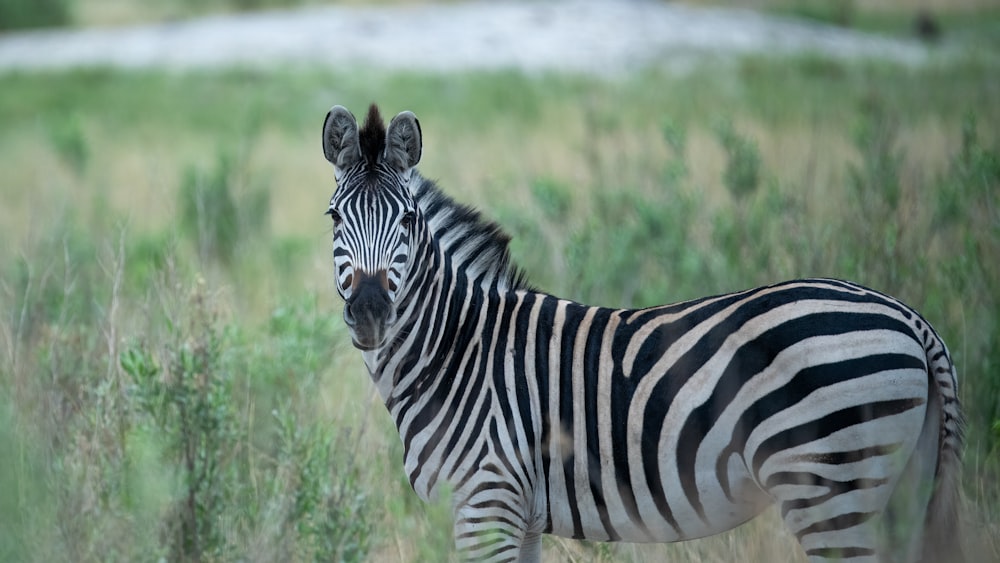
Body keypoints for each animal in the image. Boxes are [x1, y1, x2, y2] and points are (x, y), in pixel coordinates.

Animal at [320, 102, 960, 563]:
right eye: (333, 217)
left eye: (407, 219)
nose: (372, 312)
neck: (459, 353)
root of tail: (911, 319)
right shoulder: (519, 515)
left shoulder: (486, 501)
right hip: (897, 489)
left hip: (831, 485)